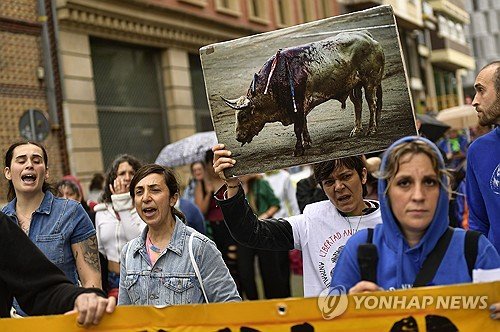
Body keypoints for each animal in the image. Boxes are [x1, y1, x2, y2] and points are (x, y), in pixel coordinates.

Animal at [221, 30, 384, 157]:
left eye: (243, 116)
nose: (238, 137)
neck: (275, 80)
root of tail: (367, 36)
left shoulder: (297, 105)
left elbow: (298, 127)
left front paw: (298, 149)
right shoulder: (300, 107)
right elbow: (304, 124)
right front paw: (307, 143)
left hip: (370, 82)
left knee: (372, 103)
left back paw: (371, 129)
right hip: (354, 86)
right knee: (358, 104)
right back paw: (356, 130)